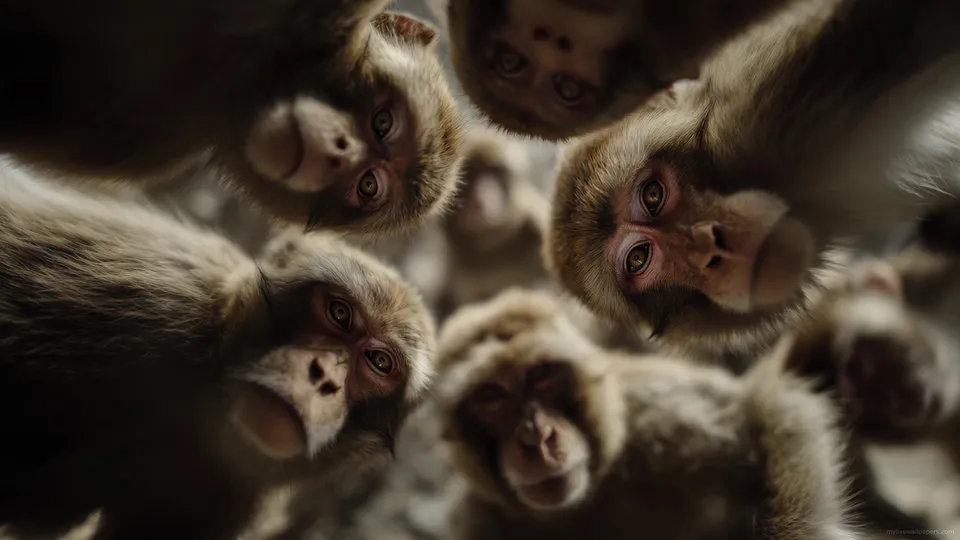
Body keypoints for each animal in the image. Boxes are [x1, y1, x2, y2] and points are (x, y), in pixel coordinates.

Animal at [433, 288, 859, 540]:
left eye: (540, 375)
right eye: (490, 395)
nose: (536, 438)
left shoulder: (656, 409)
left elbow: (771, 410)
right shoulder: (475, 521)